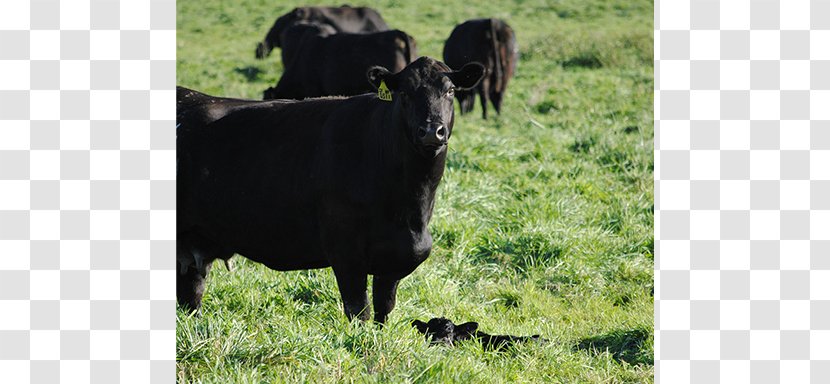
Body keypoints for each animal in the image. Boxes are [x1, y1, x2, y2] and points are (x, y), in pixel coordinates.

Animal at [179, 57, 484, 322]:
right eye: (405, 93)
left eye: (450, 91)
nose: (432, 131)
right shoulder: (346, 253)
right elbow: (359, 311)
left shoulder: (394, 260)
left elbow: (383, 310)